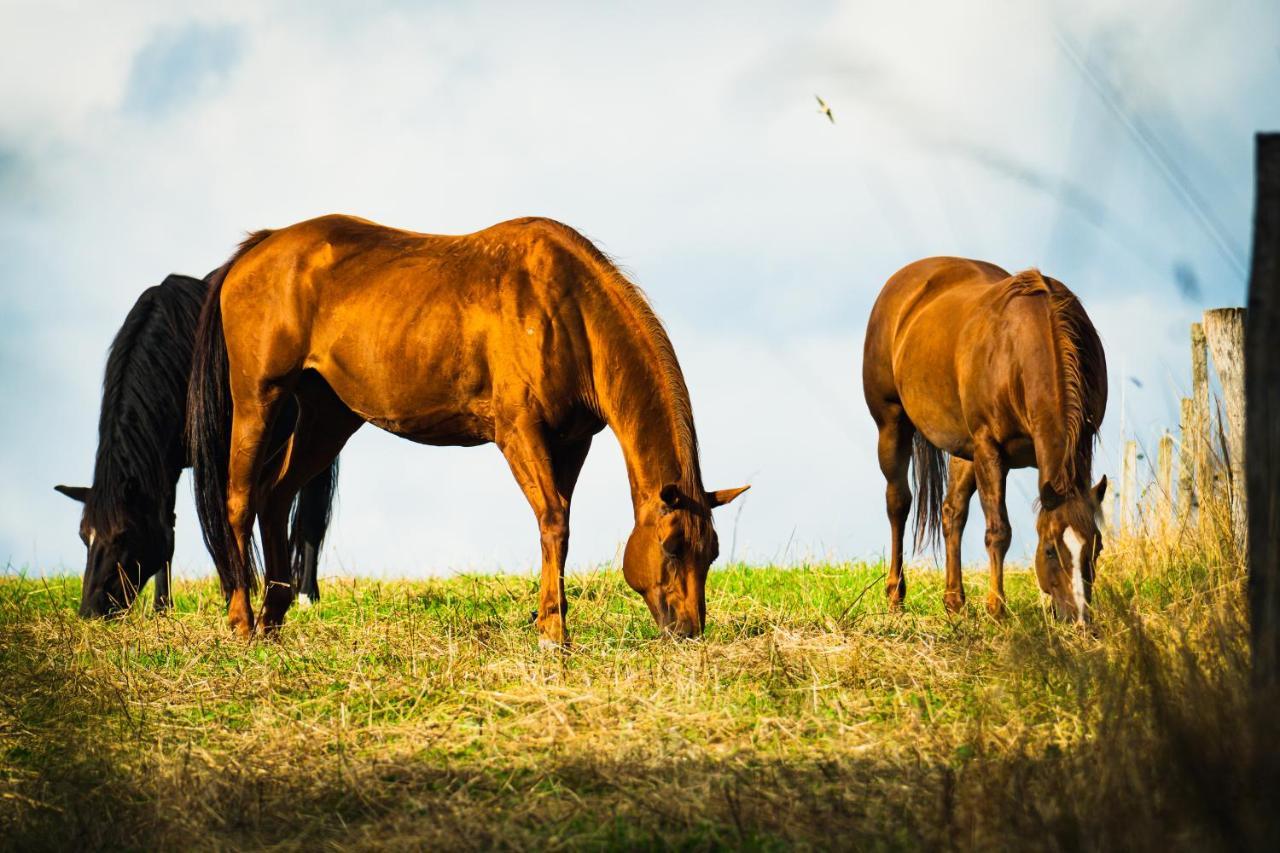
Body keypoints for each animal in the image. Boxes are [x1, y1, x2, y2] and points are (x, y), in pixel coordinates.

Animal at [56, 275, 337, 614]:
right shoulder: (166, 465)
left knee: (311, 512)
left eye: (122, 535)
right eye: (83, 535)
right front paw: (162, 607)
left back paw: (307, 594)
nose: (91, 611)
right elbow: (168, 529)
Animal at [186, 212, 747, 637]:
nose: (688, 630)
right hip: (259, 400)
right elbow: (553, 521)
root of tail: (259, 246)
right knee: (240, 500)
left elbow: (560, 523)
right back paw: (242, 620)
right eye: (672, 547)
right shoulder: (518, 434)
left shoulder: (572, 443)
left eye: (712, 553)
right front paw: (554, 633)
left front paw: (550, 619)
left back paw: (273, 617)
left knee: (275, 496)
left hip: (328, 419)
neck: (566, 308)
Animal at [860, 256, 1111, 622]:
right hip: (892, 425)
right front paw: (997, 609)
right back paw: (895, 596)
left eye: (1097, 546)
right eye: (1051, 550)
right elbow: (999, 531)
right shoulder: (990, 449)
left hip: (963, 449)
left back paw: (954, 601)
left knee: (952, 512)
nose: (1078, 619)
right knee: (898, 503)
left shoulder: (1082, 442)